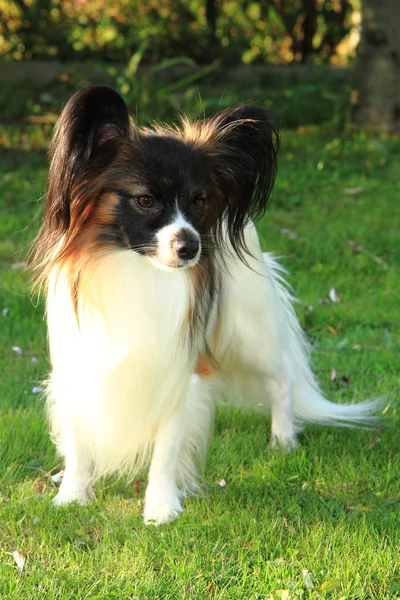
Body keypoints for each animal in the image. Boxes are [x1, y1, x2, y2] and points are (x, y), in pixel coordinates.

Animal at [33, 85, 378, 524]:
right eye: (145, 201)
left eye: (198, 201)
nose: (191, 246)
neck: (136, 267)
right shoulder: (77, 363)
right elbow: (79, 437)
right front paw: (74, 494)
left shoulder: (180, 372)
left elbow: (166, 449)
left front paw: (161, 507)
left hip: (250, 333)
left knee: (281, 378)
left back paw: (283, 439)